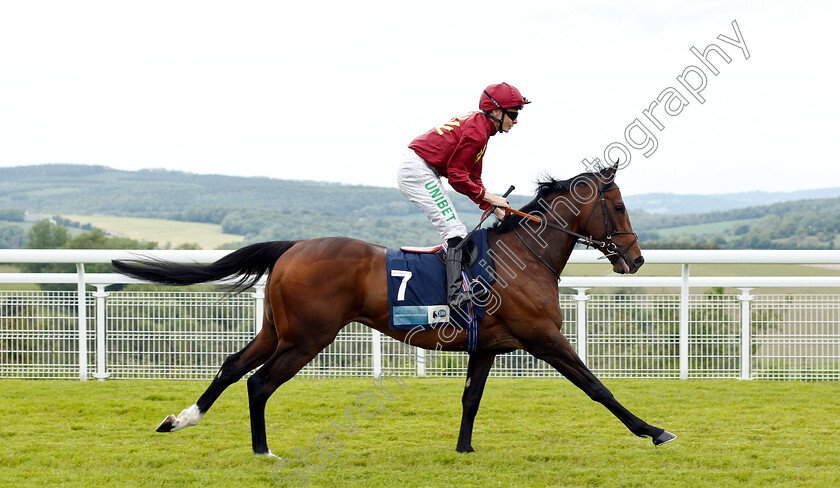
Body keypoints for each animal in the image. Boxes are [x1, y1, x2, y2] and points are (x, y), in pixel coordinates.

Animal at [113, 166, 676, 456]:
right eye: (619, 206)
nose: (635, 259)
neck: (524, 257)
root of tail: (293, 247)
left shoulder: (488, 347)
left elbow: (471, 398)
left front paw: (463, 450)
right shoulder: (543, 337)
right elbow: (597, 387)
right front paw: (653, 431)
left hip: (279, 330)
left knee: (232, 366)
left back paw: (179, 420)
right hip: (308, 338)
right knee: (259, 383)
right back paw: (262, 450)